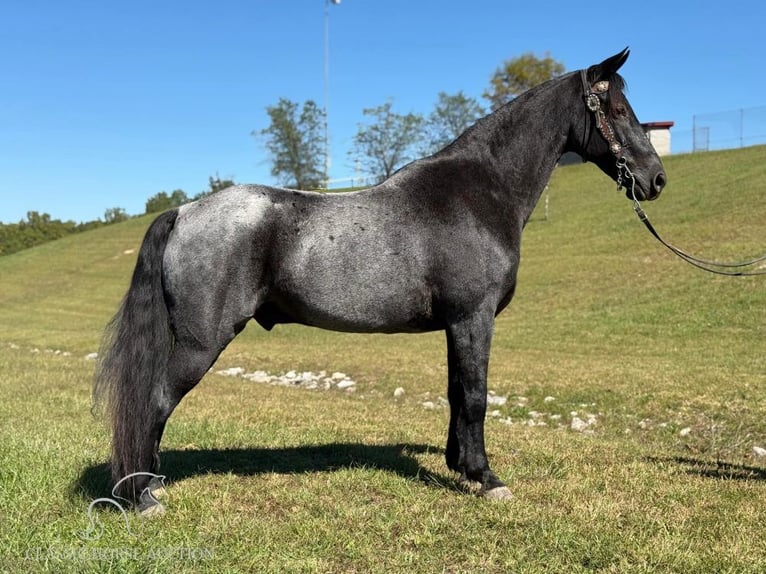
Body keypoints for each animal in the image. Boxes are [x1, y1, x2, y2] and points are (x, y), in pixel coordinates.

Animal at [94, 48, 664, 512]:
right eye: (616, 110)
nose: (655, 179)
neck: (480, 190)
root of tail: (185, 211)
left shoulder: (456, 325)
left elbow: (457, 393)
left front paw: (459, 466)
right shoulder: (473, 317)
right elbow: (476, 394)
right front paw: (487, 478)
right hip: (200, 343)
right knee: (155, 402)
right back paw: (143, 496)